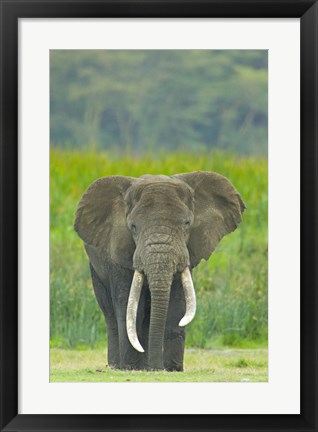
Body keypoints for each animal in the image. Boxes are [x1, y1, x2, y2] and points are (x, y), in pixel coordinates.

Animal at [75, 170, 246, 370]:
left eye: (187, 223)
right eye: (133, 227)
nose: (157, 368)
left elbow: (178, 305)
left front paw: (172, 369)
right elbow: (129, 306)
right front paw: (132, 368)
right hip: (95, 267)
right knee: (110, 312)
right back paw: (119, 366)